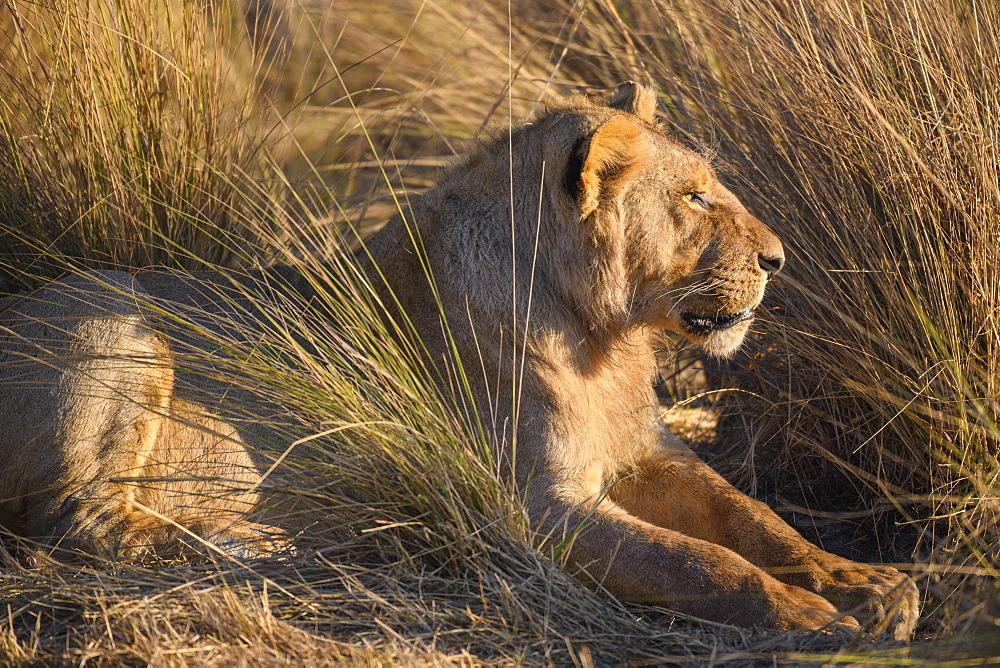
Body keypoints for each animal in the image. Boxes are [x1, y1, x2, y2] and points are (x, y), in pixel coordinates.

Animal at [0, 82, 916, 636]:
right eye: (693, 197)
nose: (779, 259)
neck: (600, 336)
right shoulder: (534, 510)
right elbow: (698, 558)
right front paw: (808, 615)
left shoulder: (650, 452)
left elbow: (751, 518)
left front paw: (864, 583)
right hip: (114, 328)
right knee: (82, 526)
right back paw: (266, 547)